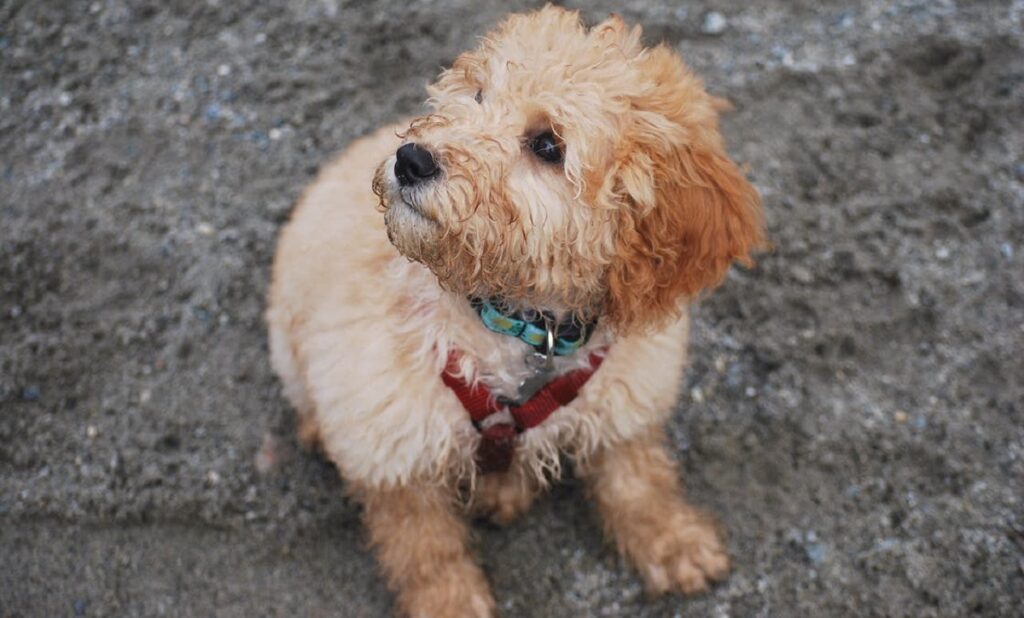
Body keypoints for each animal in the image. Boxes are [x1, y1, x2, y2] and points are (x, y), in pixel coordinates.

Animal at [268, 6, 765, 618]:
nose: (411, 159)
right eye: (478, 93)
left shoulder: (624, 395)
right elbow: (424, 545)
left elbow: (637, 478)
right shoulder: (387, 439)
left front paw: (673, 544)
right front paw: (450, 603)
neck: (520, 328)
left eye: (548, 145)